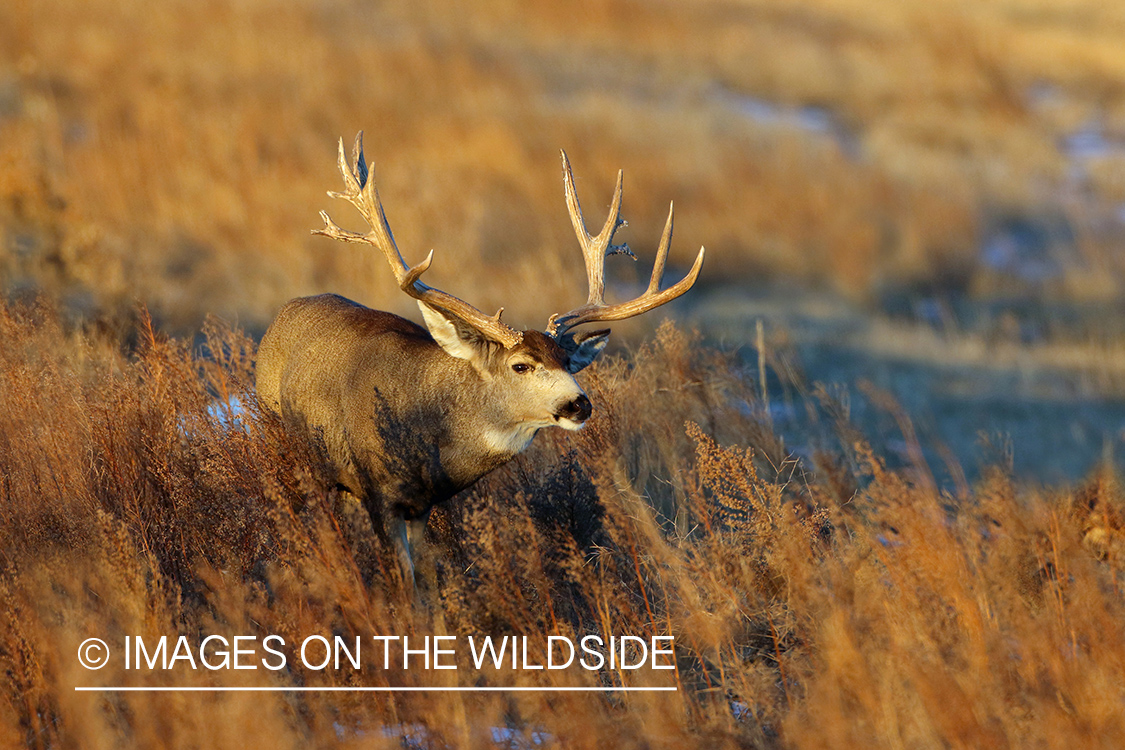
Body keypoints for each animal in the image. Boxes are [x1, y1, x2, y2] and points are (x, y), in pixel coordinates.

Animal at [255, 133, 704, 589]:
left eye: (567, 360)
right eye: (521, 365)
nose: (579, 404)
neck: (423, 428)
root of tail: (285, 312)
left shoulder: (422, 505)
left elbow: (425, 578)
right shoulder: (378, 492)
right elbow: (404, 582)